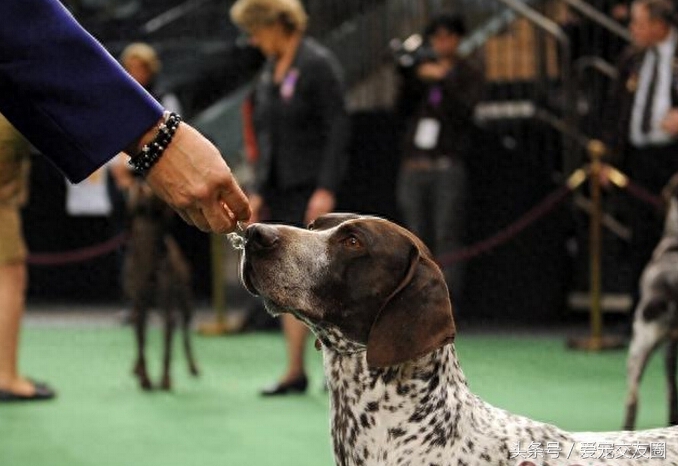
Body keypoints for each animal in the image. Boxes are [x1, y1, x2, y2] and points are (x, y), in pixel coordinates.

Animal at [125, 180, 199, 392]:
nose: (139, 180)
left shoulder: (167, 306)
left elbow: (167, 342)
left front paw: (165, 380)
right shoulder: (140, 305)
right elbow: (141, 341)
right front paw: (145, 379)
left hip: (186, 301)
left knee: (185, 333)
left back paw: (193, 367)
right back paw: (137, 368)